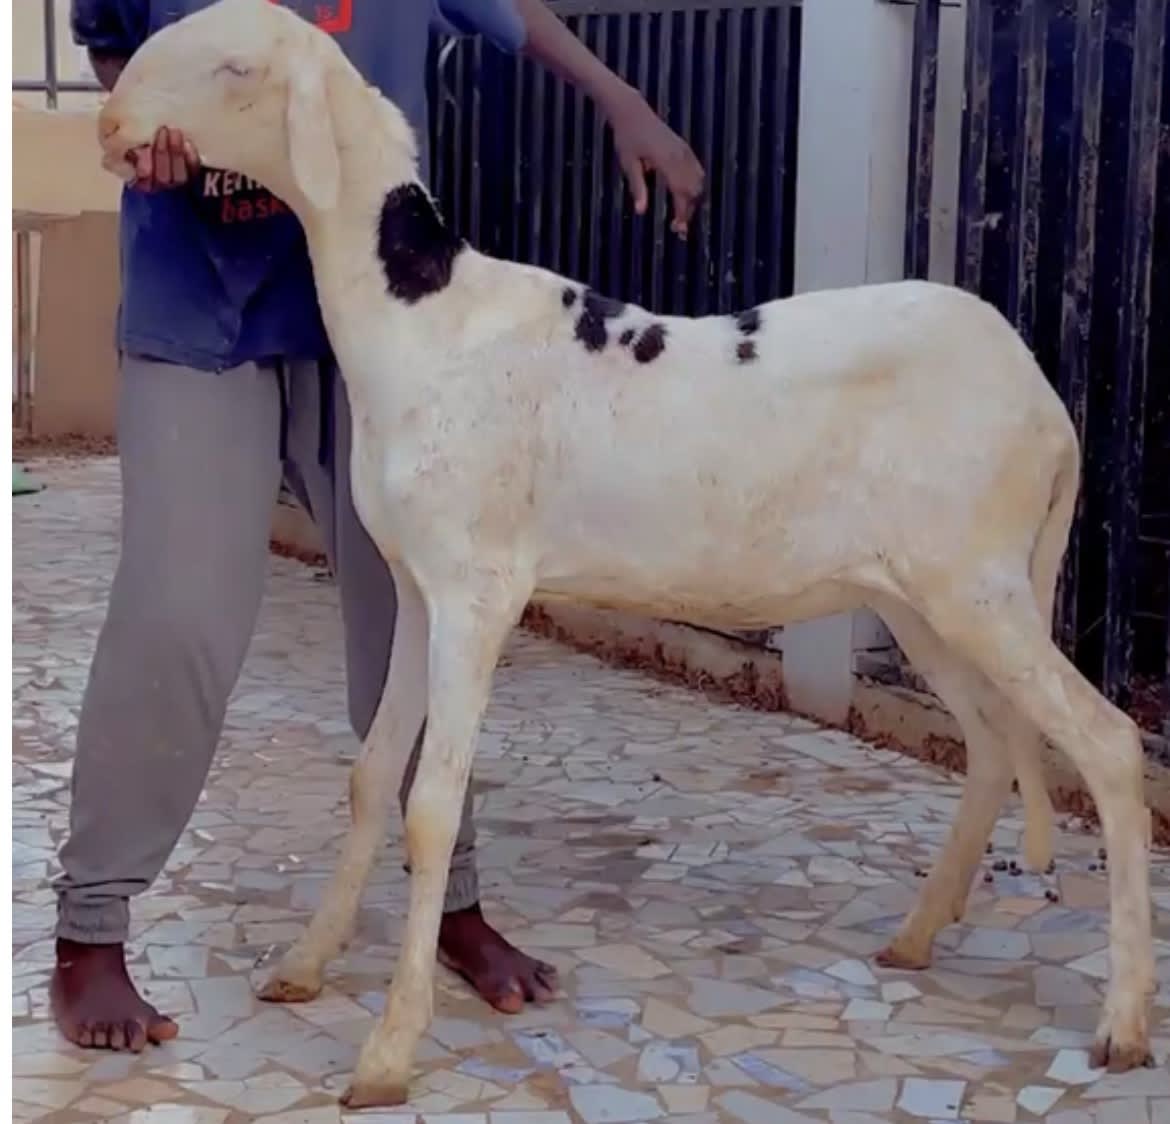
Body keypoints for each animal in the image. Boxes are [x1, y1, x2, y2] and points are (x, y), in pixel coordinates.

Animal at [97, 0, 1155, 1106]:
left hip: (979, 581)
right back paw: (915, 937)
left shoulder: (478, 591)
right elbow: (373, 773)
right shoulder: (419, 588)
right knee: (992, 746)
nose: (113, 125)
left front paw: (388, 1053)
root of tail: (1045, 400)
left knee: (1109, 744)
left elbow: (431, 806)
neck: (423, 312)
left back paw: (1123, 1021)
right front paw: (304, 965)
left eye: (233, 67)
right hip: (922, 594)